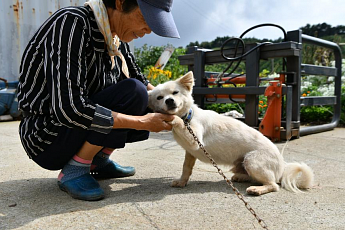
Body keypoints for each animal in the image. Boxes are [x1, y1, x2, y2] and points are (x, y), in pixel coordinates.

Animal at [146, 71, 314, 195]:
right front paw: (182, 182)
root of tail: (282, 166)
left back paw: (257, 189)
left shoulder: (193, 140)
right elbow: (186, 168)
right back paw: (241, 177)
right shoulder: (191, 152)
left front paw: (173, 118)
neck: (188, 116)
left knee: (273, 185)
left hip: (251, 160)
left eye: (175, 93)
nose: (169, 101)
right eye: (159, 97)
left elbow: (177, 120)